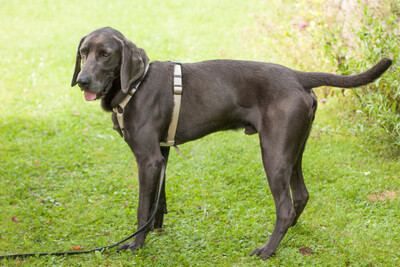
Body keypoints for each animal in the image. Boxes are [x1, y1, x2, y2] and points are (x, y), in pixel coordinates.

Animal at [71, 27, 390, 262]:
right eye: (83, 53)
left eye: (105, 54)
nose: (83, 81)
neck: (136, 84)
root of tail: (298, 76)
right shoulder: (161, 153)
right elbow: (157, 200)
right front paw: (156, 229)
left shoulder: (147, 158)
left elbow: (141, 208)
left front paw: (135, 244)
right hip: (294, 150)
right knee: (301, 195)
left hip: (273, 154)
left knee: (285, 206)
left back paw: (267, 250)